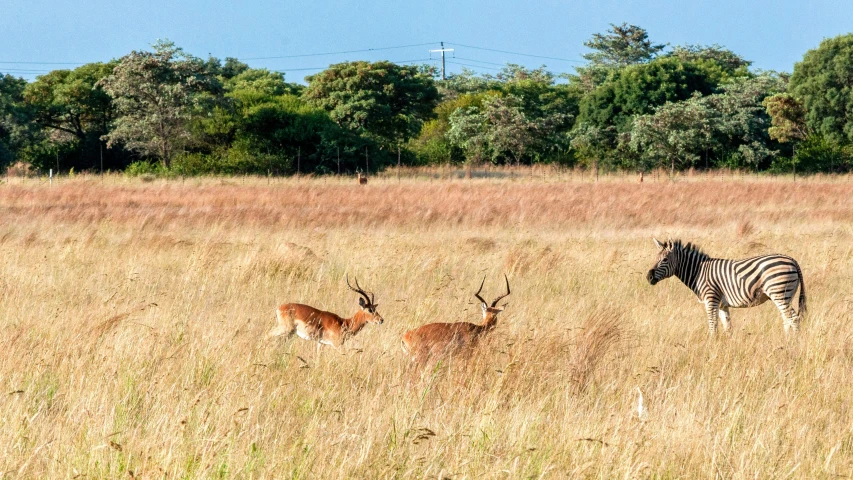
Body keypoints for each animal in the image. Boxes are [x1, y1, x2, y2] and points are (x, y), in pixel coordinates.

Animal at [644, 239, 804, 336]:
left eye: (665, 260)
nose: (649, 277)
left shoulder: (711, 300)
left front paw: (712, 345)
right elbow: (728, 327)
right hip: (784, 295)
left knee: (794, 318)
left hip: (780, 293)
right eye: (655, 258)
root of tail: (792, 260)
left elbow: (712, 325)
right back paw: (785, 340)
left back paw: (793, 343)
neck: (698, 272)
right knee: (787, 318)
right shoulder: (722, 304)